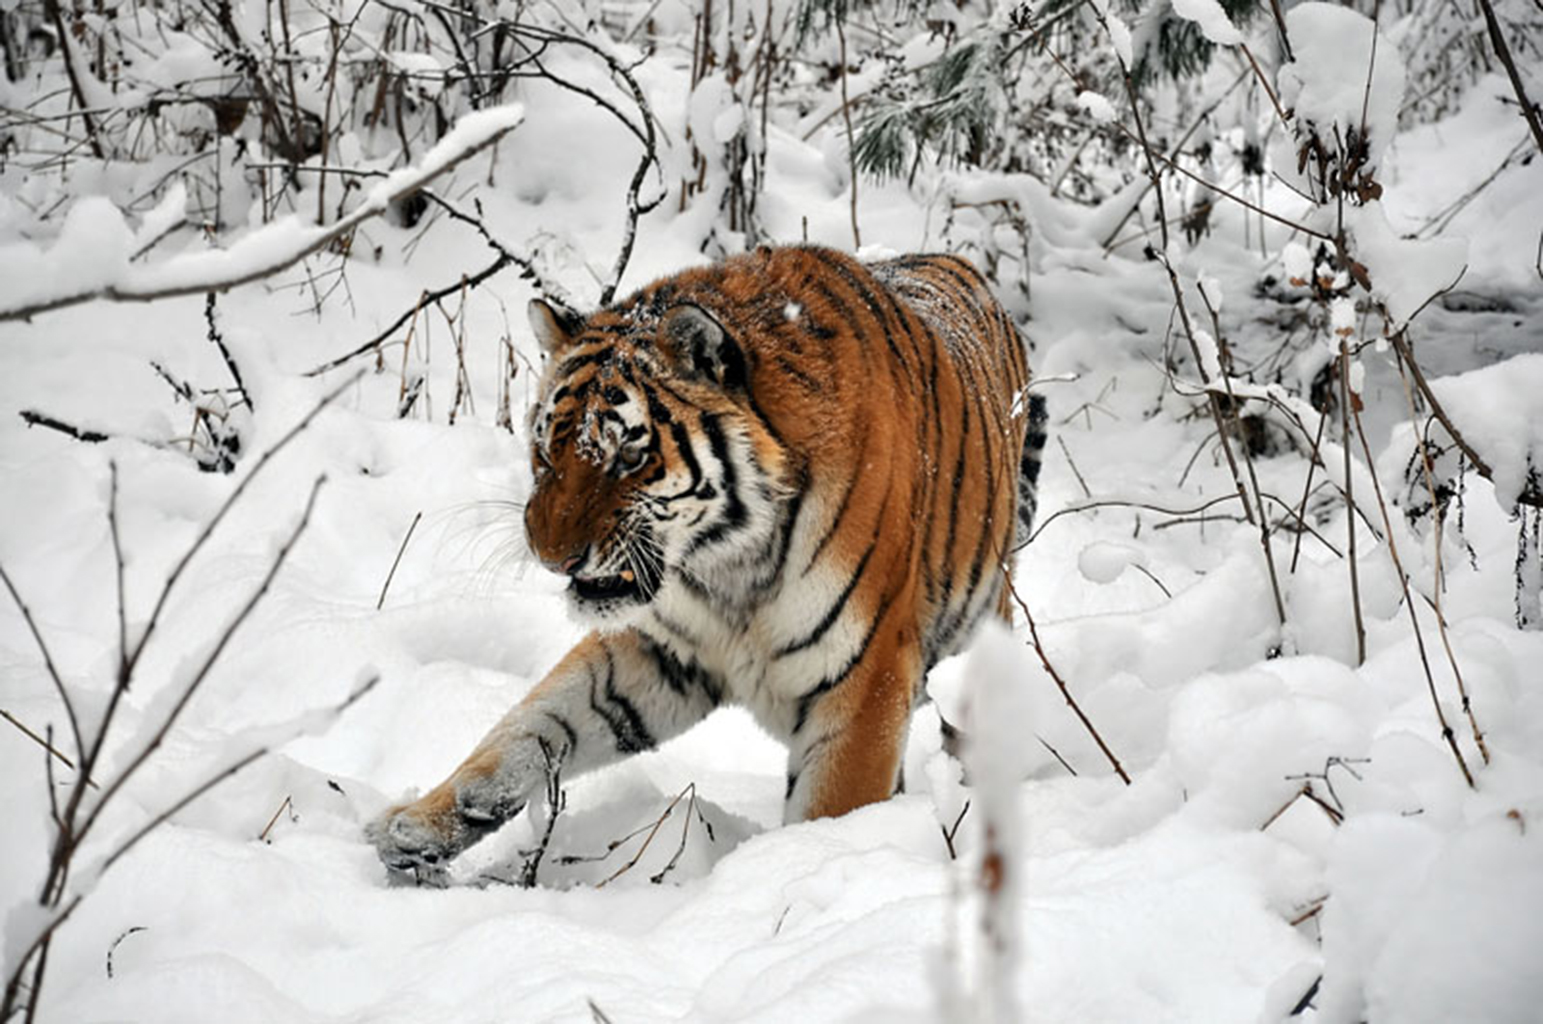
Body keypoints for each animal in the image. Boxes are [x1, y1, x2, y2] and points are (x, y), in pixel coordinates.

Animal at [368, 242, 1049, 869]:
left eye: (629, 454)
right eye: (545, 448)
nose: (551, 557)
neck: (727, 566)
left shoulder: (862, 676)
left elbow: (831, 809)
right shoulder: (658, 648)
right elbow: (531, 725)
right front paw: (418, 825)